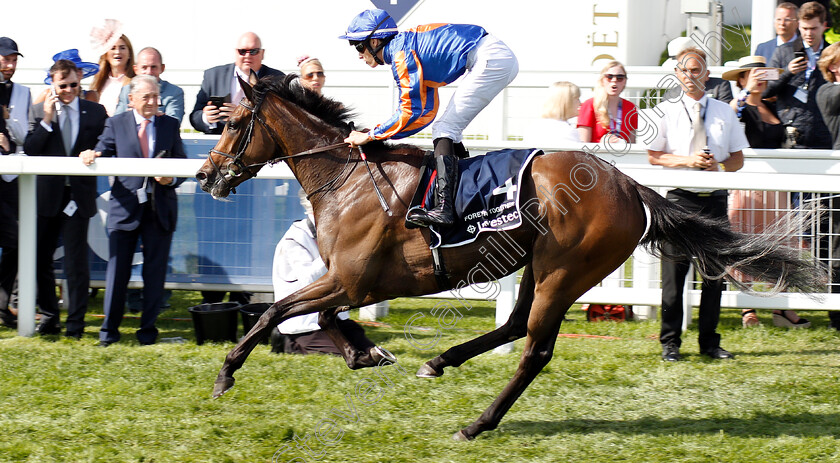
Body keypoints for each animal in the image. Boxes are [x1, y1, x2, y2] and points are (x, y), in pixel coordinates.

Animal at [197, 74, 828, 440]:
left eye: (233, 122)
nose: (206, 175)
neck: (346, 178)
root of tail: (631, 186)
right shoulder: (354, 283)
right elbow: (318, 316)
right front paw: (366, 352)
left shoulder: (353, 279)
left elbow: (275, 311)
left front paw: (226, 373)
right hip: (538, 265)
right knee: (516, 324)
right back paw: (440, 361)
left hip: (564, 270)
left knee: (535, 349)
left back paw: (477, 424)